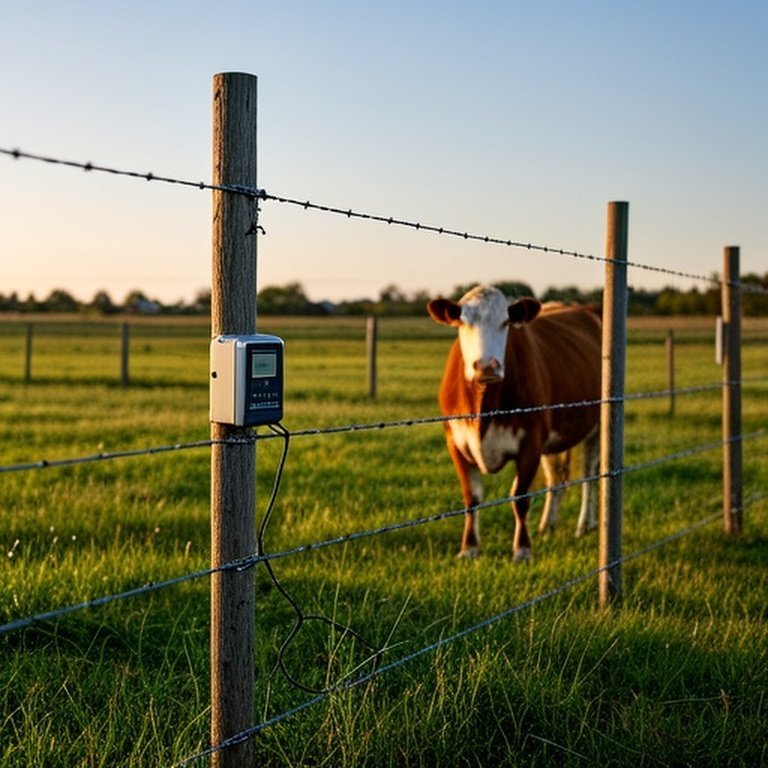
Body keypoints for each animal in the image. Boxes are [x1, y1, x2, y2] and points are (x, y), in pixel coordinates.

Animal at [427, 285, 602, 561]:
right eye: (463, 322)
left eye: (505, 322)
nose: (487, 366)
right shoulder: (455, 442)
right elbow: (471, 497)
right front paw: (469, 548)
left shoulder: (531, 441)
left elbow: (520, 497)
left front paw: (522, 550)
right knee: (555, 479)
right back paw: (547, 525)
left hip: (596, 426)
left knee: (589, 475)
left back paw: (585, 525)